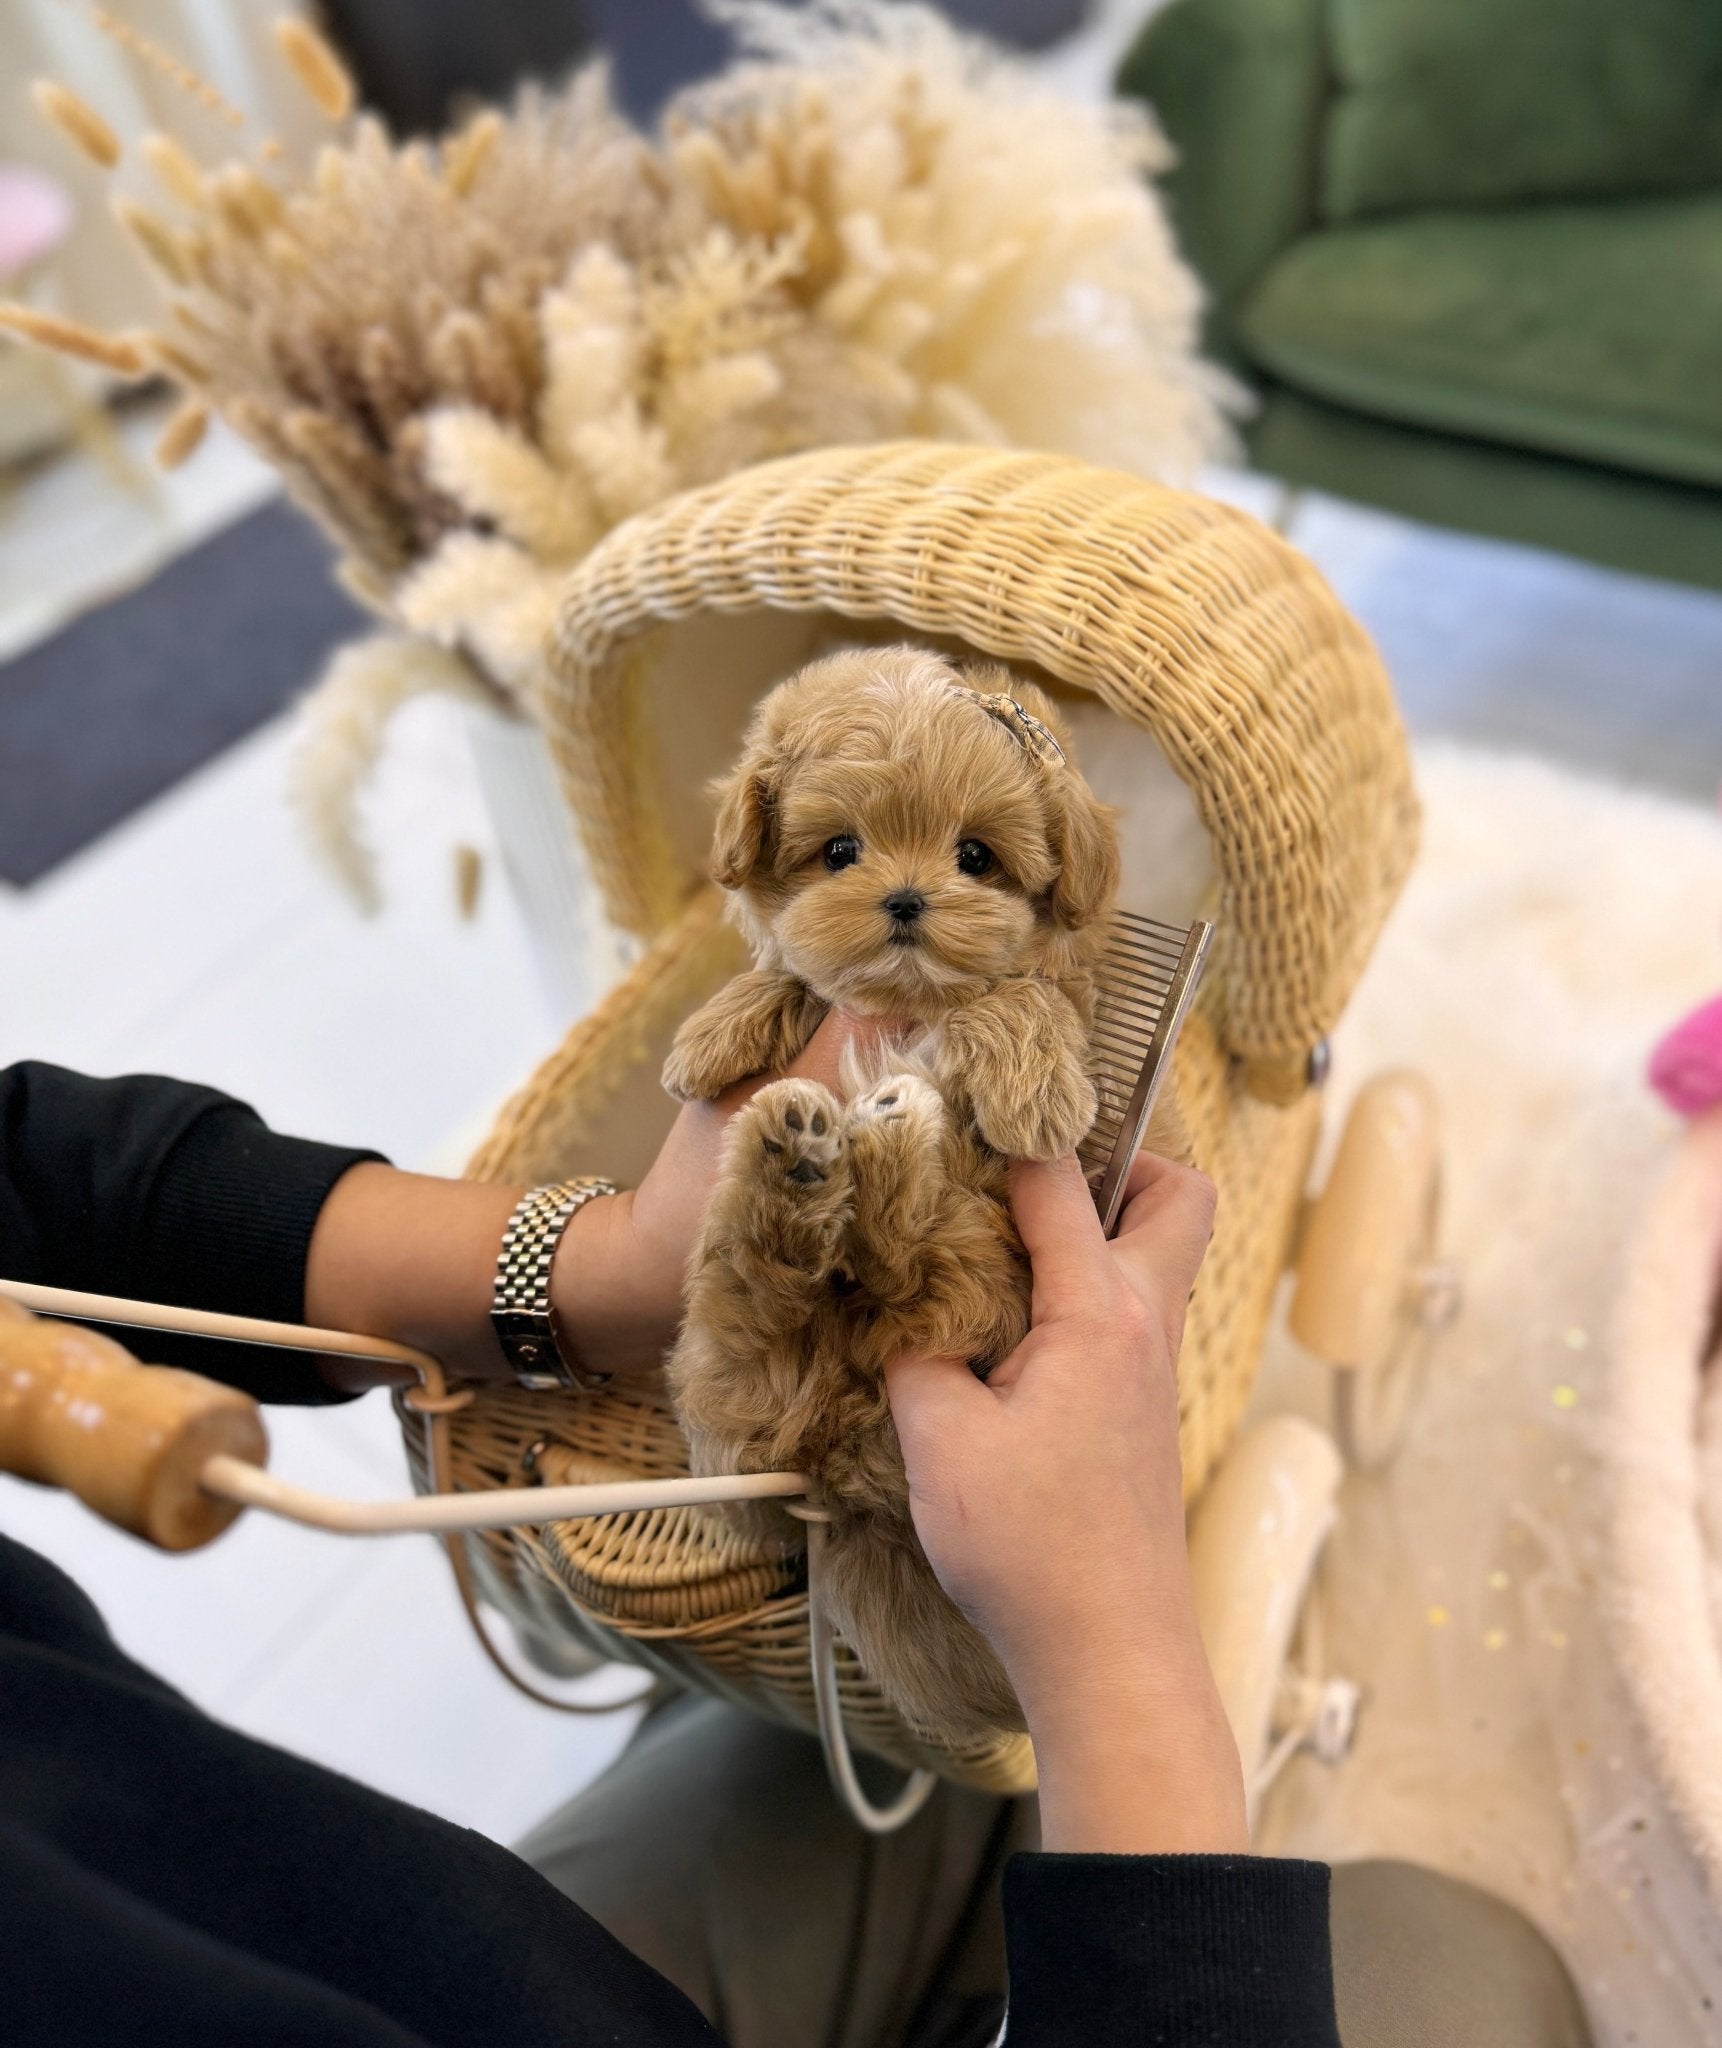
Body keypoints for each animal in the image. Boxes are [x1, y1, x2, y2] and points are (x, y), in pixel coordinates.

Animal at [671, 643, 1130, 1744]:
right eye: (840, 851)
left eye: (977, 858)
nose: (908, 902)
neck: (906, 1002)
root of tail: (825, 1464)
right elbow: (791, 973)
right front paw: (715, 1031)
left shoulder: (1058, 990)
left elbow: (1019, 994)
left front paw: (1034, 1092)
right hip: (723, 1357)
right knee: (763, 1279)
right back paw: (805, 1155)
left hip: (973, 1275)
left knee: (897, 1256)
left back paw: (878, 1140)